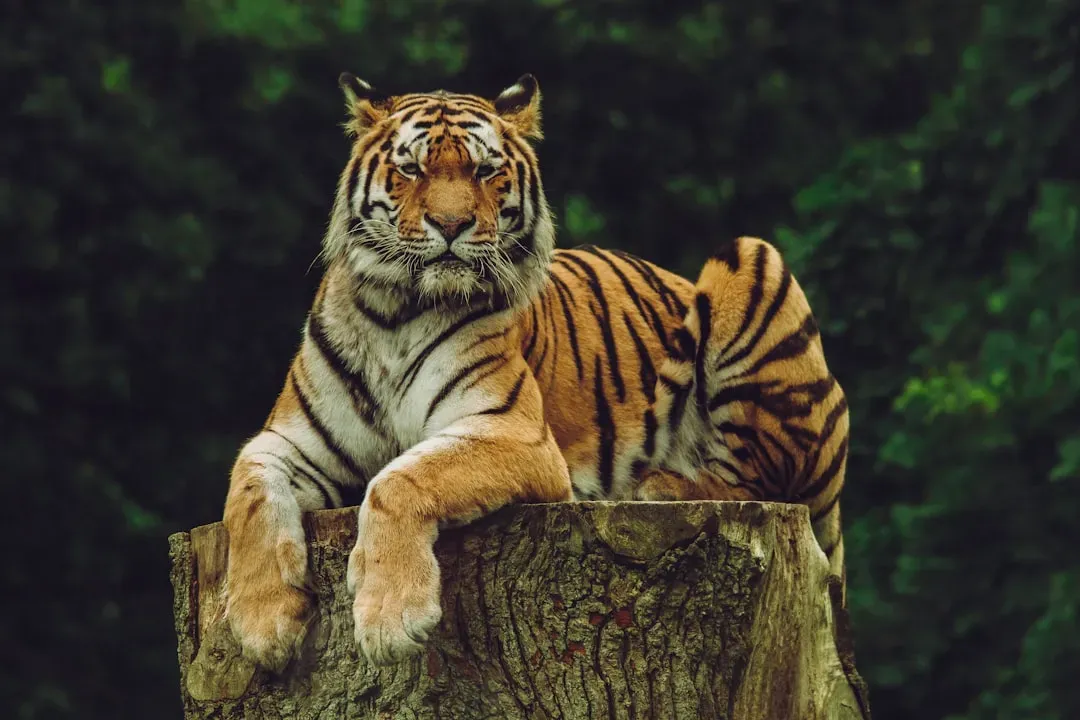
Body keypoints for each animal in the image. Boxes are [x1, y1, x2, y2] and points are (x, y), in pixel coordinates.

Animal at [222, 72, 849, 670]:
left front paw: (390, 620)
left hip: (752, 259)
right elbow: (247, 497)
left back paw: (661, 484)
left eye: (484, 170)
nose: (450, 224)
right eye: (411, 168)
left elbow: (399, 479)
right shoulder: (289, 441)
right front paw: (262, 625)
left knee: (760, 477)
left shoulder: (512, 431)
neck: (395, 314)